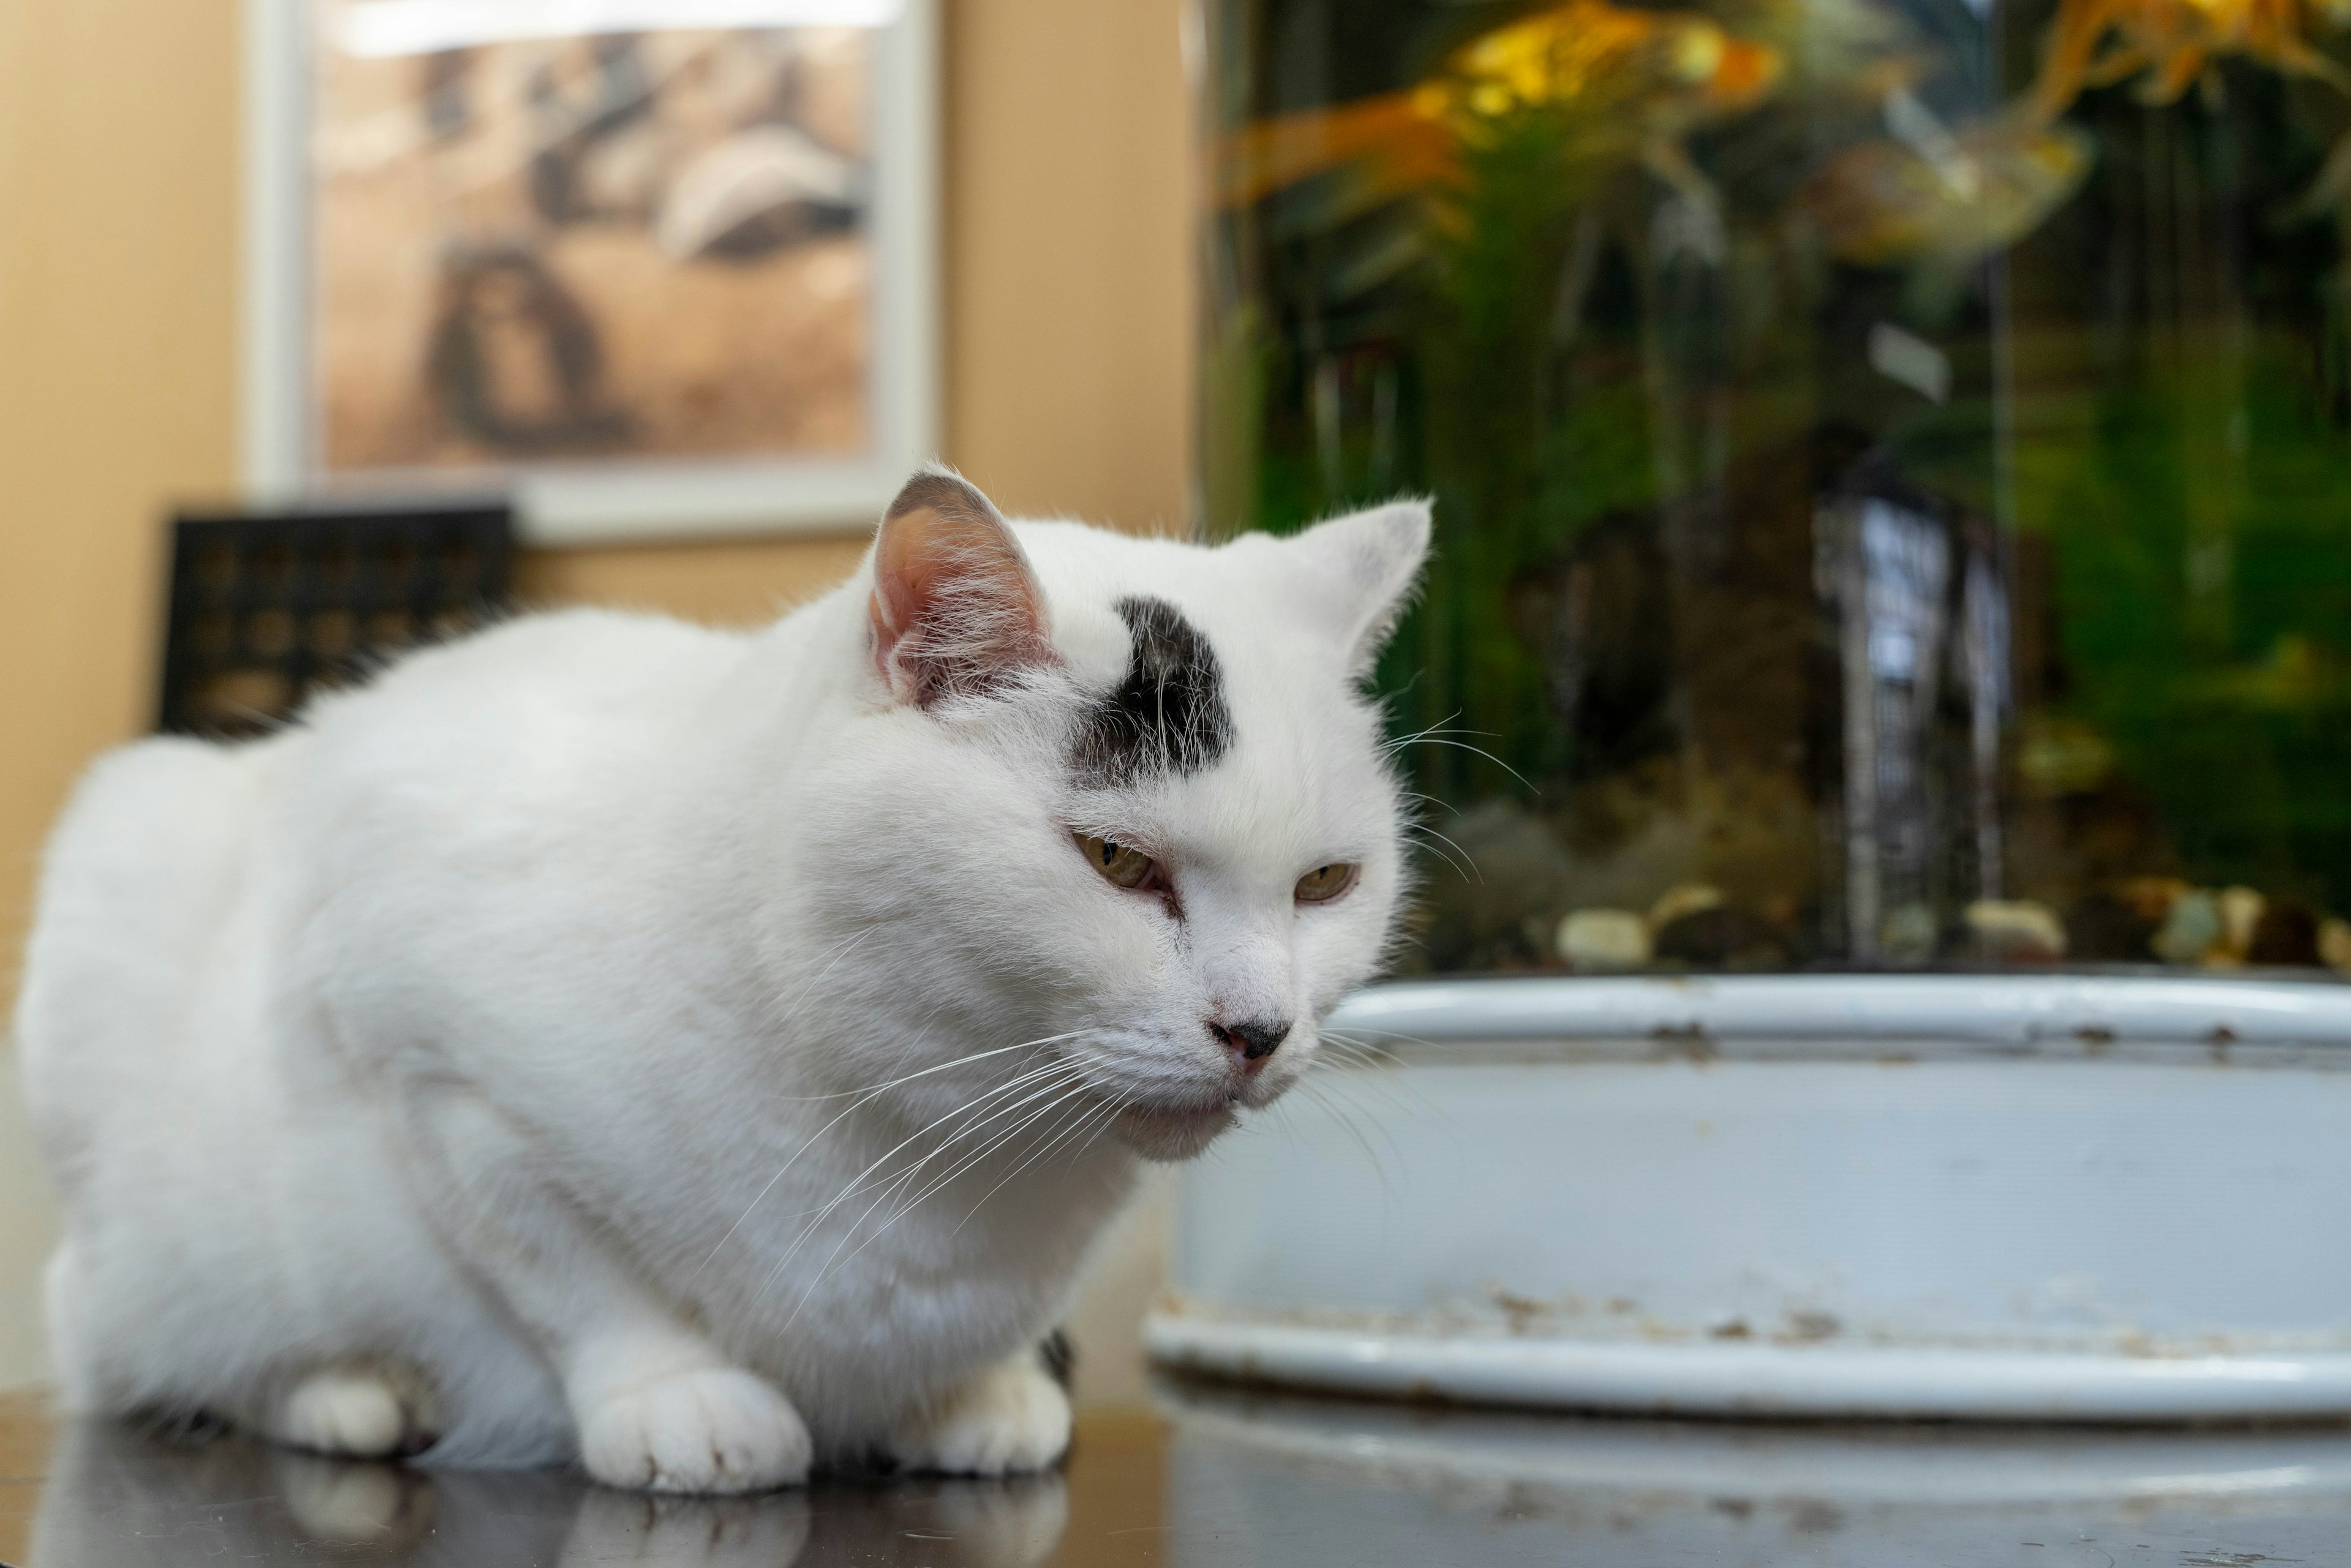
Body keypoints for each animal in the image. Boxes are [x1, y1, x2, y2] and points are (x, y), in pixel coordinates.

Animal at [13, 475, 1429, 1495]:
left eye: (1326, 883)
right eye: (1118, 861)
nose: (1260, 1028)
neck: (945, 1141)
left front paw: (972, 1393)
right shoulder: (422, 1050)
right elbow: (565, 1262)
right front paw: (679, 1398)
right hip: (130, 925)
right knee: (141, 1337)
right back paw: (349, 1393)